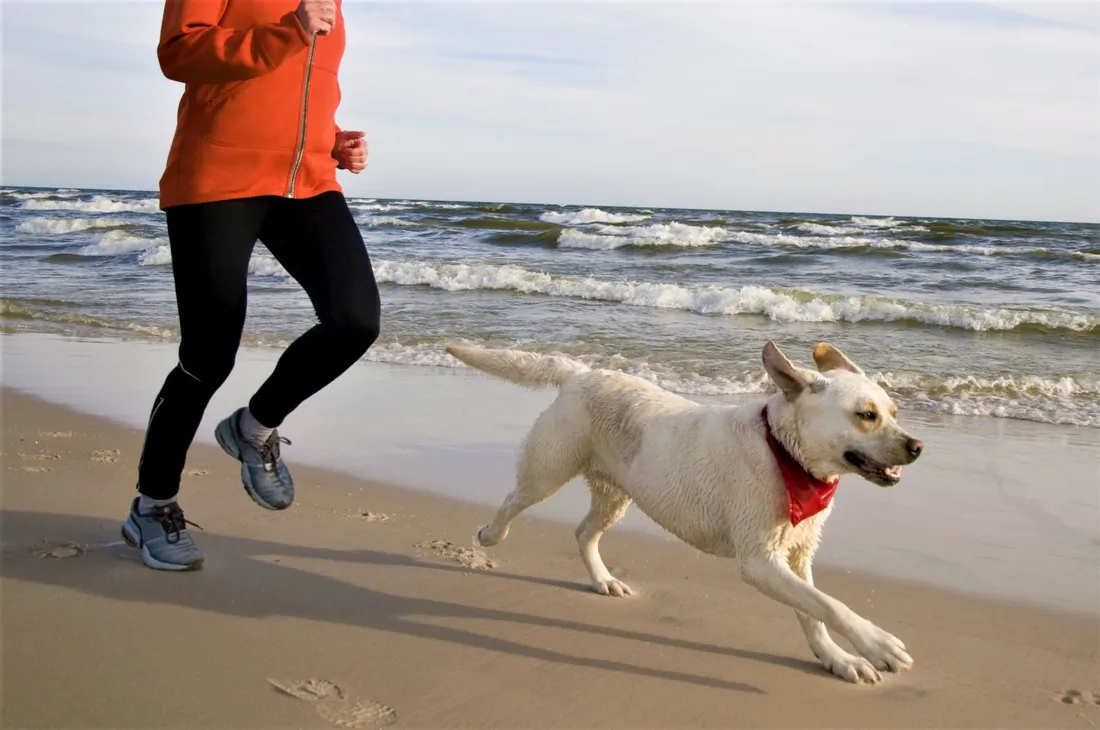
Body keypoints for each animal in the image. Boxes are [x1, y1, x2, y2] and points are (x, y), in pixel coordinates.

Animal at [442, 343, 924, 686]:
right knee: (513, 500)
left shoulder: (797, 552)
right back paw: (489, 536)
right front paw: (877, 644)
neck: (788, 455)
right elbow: (831, 604)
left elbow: (813, 610)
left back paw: (603, 580)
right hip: (548, 470)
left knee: (583, 533)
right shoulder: (759, 561)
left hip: (616, 495)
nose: (917, 446)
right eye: (866, 415)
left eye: (894, 412)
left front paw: (838, 660)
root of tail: (582, 373)